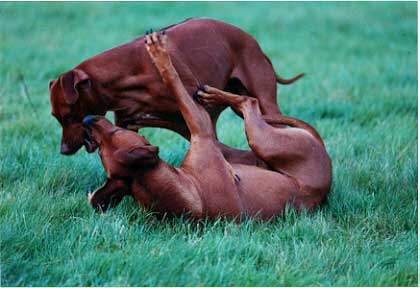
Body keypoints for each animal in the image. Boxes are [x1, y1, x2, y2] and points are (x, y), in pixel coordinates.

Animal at [83, 31, 332, 218]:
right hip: (263, 140)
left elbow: (177, 101)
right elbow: (174, 84)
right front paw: (160, 55)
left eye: (112, 133)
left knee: (247, 103)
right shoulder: (203, 132)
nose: (87, 120)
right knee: (248, 103)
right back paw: (212, 95)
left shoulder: (204, 133)